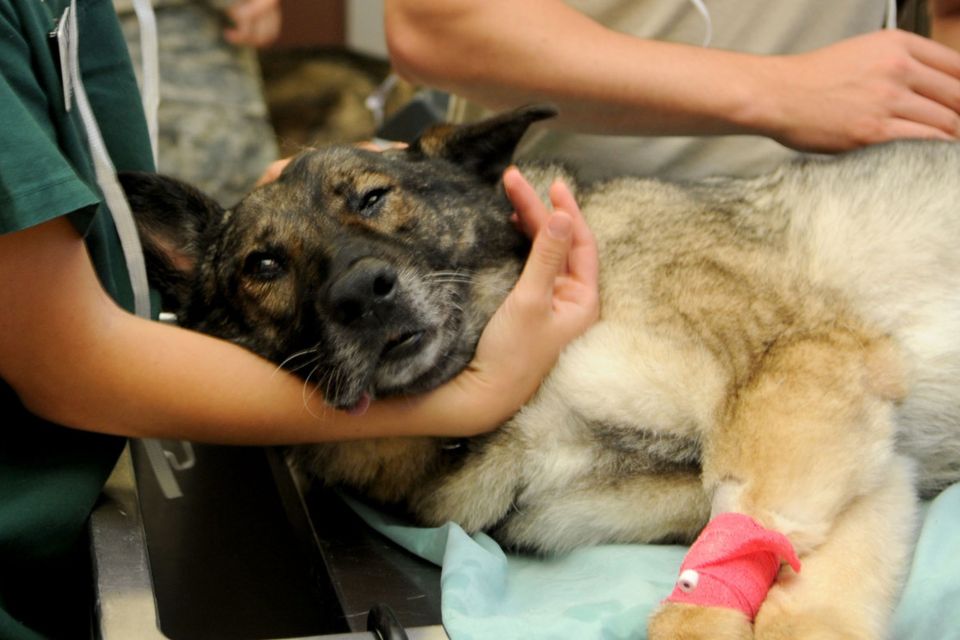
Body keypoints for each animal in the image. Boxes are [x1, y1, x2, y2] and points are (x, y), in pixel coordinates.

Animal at [120, 107, 960, 636]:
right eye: (263, 265)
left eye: (374, 196)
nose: (362, 293)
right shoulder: (856, 455)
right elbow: (797, 581)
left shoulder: (803, 370)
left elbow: (755, 568)